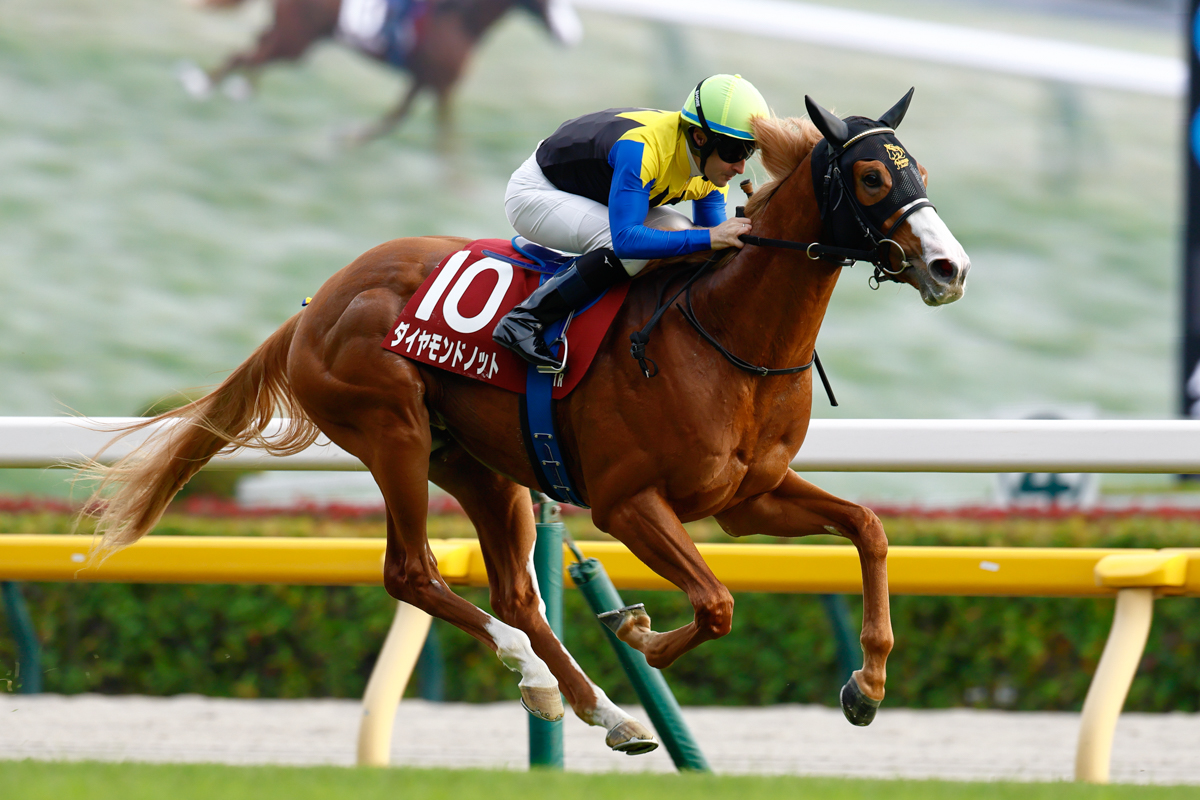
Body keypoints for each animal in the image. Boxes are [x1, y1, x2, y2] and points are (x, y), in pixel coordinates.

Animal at [84, 91, 970, 754]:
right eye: (868, 178)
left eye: (919, 169)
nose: (949, 267)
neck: (728, 336)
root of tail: (317, 303)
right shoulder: (627, 503)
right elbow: (716, 603)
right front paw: (640, 632)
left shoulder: (747, 500)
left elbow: (869, 529)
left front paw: (868, 683)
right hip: (393, 433)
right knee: (413, 574)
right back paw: (553, 682)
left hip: (480, 465)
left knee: (515, 592)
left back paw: (597, 709)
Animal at [180, 0, 581, 143]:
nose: (571, 36)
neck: (460, 17)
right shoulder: (442, 86)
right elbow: (448, 138)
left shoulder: (425, 81)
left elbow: (395, 117)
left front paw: (346, 138)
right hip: (295, 40)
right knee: (245, 55)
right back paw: (200, 85)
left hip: (292, 38)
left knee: (254, 51)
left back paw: (239, 89)